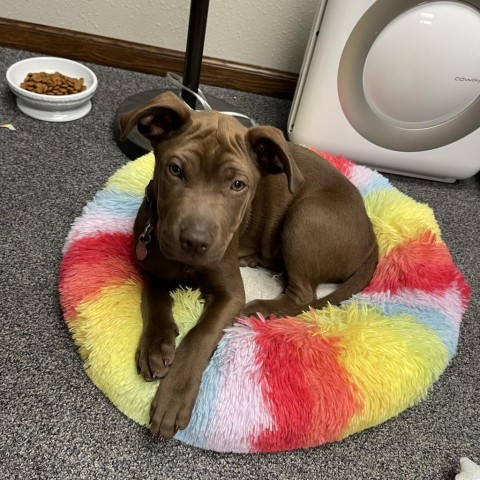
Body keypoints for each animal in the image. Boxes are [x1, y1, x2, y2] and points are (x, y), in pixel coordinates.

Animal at [121, 90, 378, 438]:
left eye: (238, 185)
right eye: (174, 169)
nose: (195, 242)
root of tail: (372, 235)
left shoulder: (230, 293)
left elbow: (200, 335)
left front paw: (174, 396)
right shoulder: (151, 263)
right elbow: (155, 299)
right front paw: (155, 346)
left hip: (306, 216)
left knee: (303, 294)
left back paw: (261, 308)